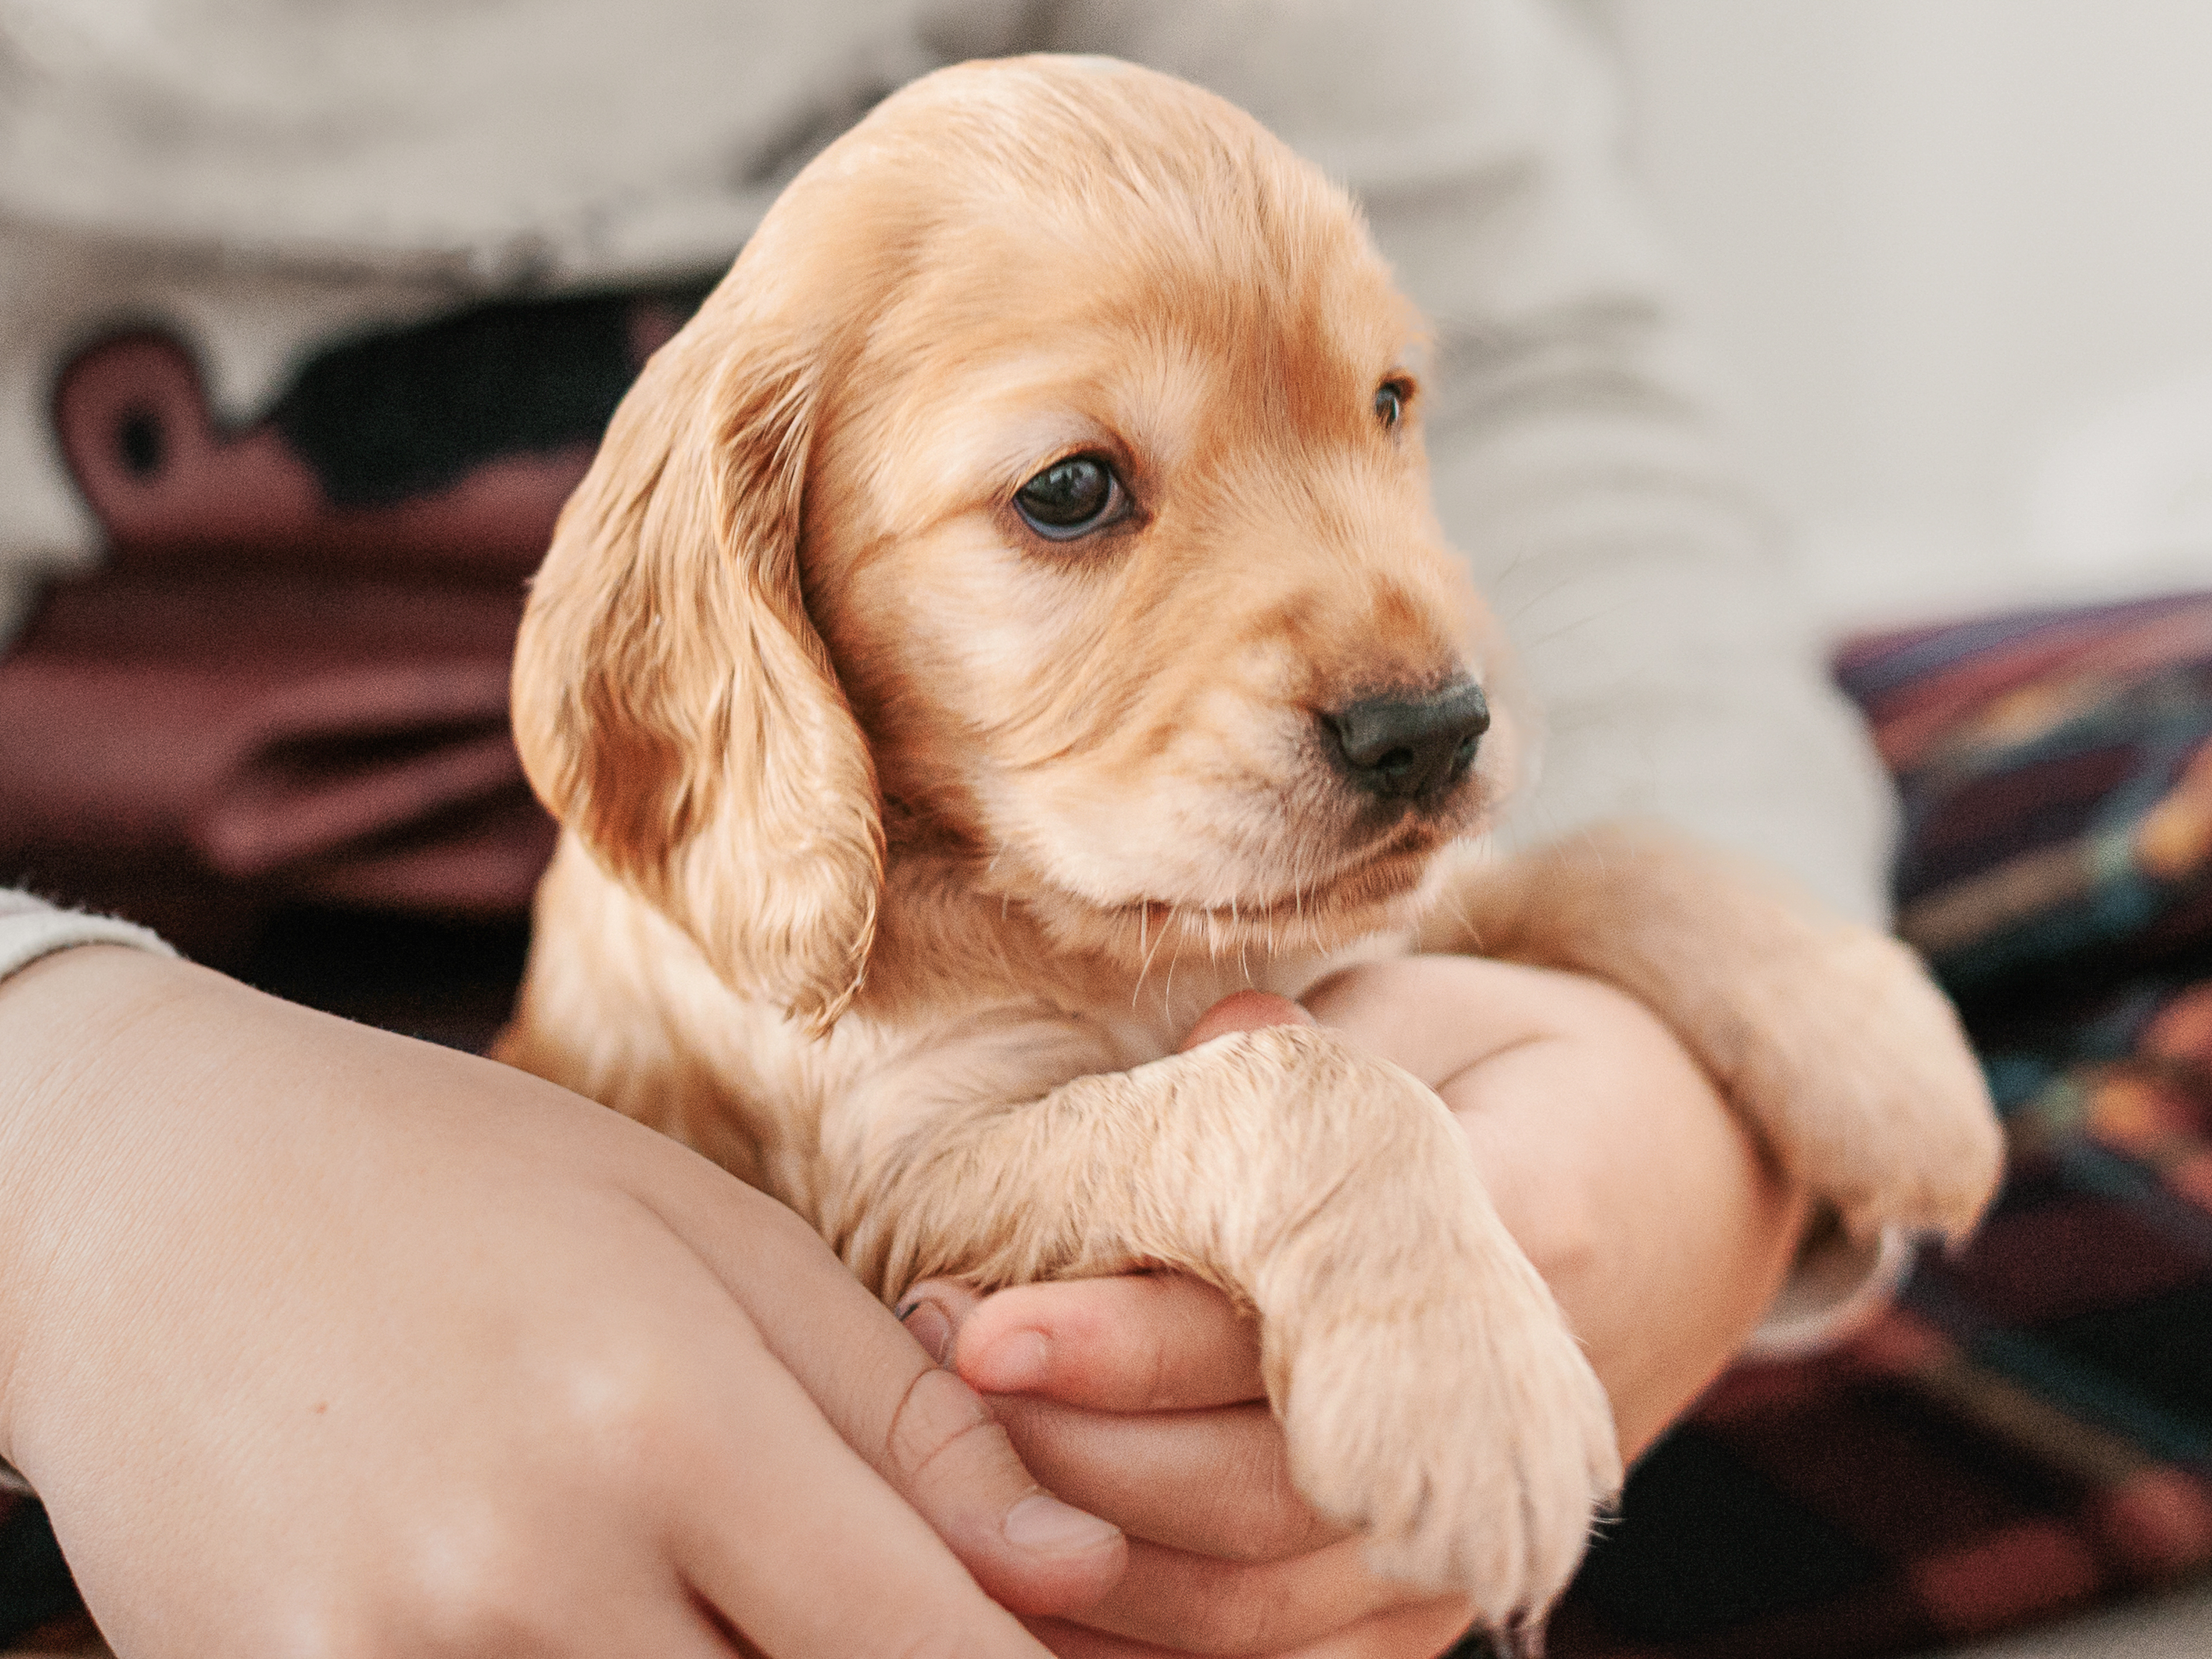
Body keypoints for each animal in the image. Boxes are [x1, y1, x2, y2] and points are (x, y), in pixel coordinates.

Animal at [498, 55, 2008, 1637]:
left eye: (1389, 403)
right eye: (1068, 491)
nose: (1433, 730)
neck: (1072, 923)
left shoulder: (1379, 901)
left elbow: (1601, 850)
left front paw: (1875, 1046)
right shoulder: (883, 1177)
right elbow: (1304, 1077)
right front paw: (1464, 1393)